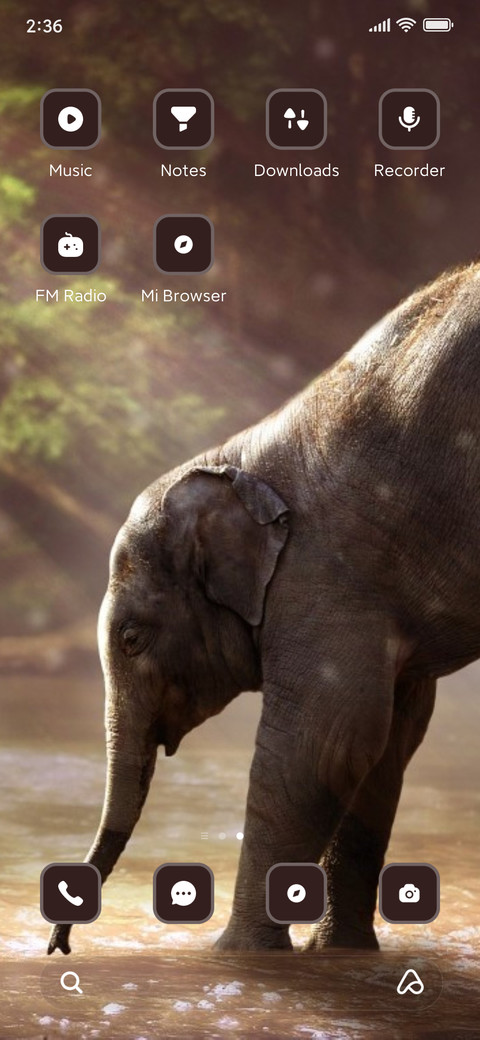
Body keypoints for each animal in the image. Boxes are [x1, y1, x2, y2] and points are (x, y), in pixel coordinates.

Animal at [48, 262, 480, 956]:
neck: (239, 459)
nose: (59, 944)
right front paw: (338, 955)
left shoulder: (328, 575)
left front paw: (235, 958)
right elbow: (386, 743)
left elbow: (325, 741)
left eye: (133, 639)